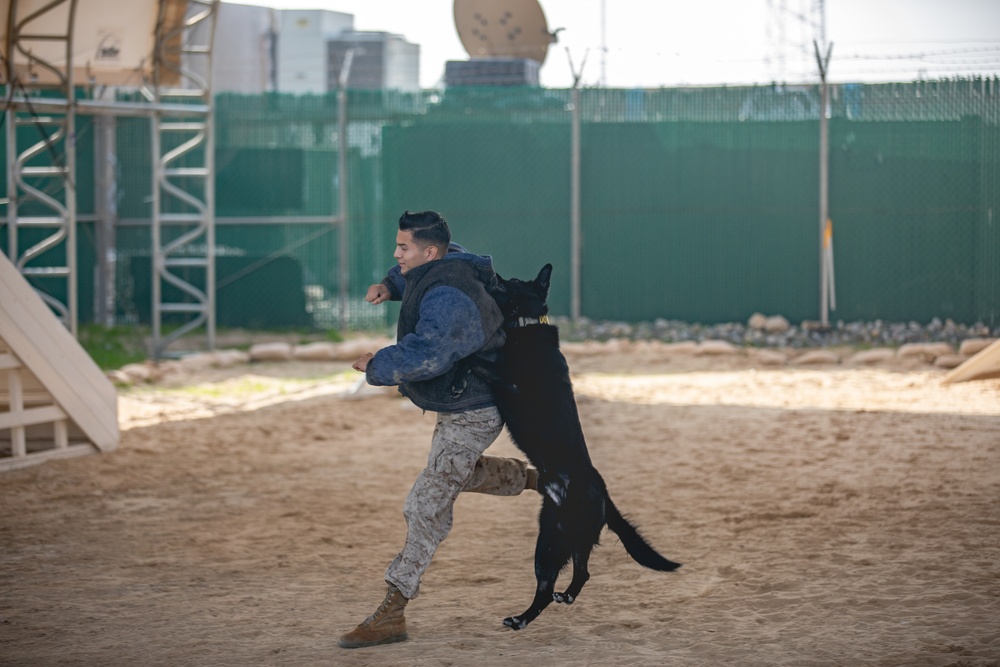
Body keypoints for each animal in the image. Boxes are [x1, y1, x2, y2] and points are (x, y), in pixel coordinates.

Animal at [460, 264, 680, 628]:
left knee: (548, 587)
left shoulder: (510, 382)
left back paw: (521, 619)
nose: (493, 273)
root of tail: (603, 494)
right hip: (562, 534)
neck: (526, 327)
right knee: (582, 571)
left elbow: (477, 360)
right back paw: (567, 596)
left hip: (551, 543)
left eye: (513, 281)